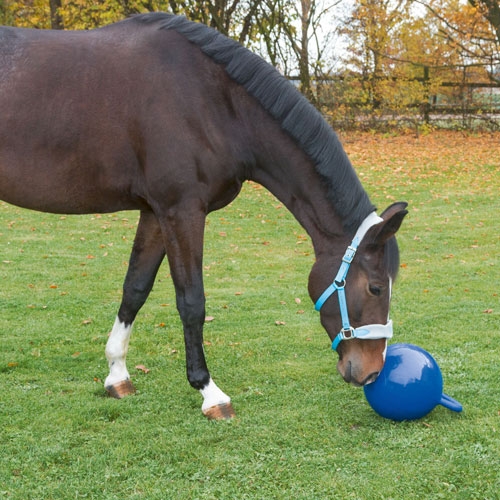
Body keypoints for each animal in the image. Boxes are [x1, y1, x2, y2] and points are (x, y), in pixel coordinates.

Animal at [0, 11, 406, 420]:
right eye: (374, 287)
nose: (371, 372)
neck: (214, 104)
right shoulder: (182, 212)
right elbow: (192, 301)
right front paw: (210, 392)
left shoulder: (155, 214)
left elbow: (135, 288)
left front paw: (117, 374)